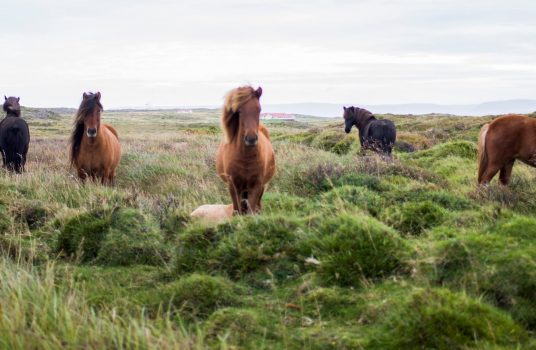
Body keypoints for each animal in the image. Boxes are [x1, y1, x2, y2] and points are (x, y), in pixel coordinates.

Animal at [216, 86, 276, 215]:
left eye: (259, 109)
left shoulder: (256, 186)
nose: (251, 139)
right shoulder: (233, 186)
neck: (245, 158)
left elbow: (251, 211)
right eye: (239, 111)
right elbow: (237, 210)